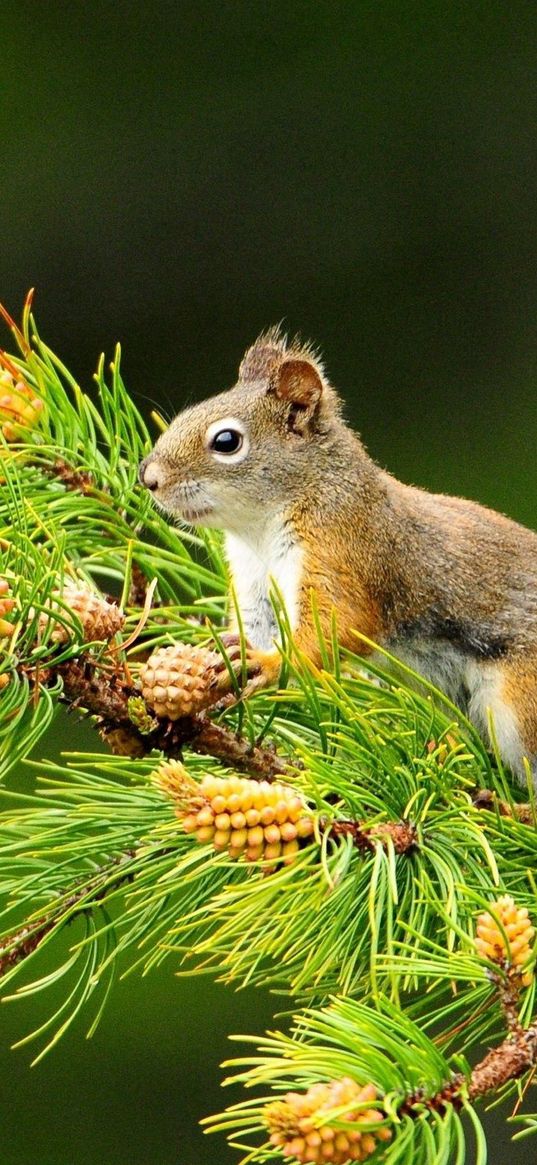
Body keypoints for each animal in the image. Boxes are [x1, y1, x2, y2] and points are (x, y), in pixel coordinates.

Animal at [138, 323, 535, 787]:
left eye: (226, 441)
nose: (149, 477)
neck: (258, 530)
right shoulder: (255, 582)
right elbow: (257, 626)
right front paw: (229, 655)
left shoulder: (341, 549)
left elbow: (339, 624)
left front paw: (267, 663)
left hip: (521, 700)